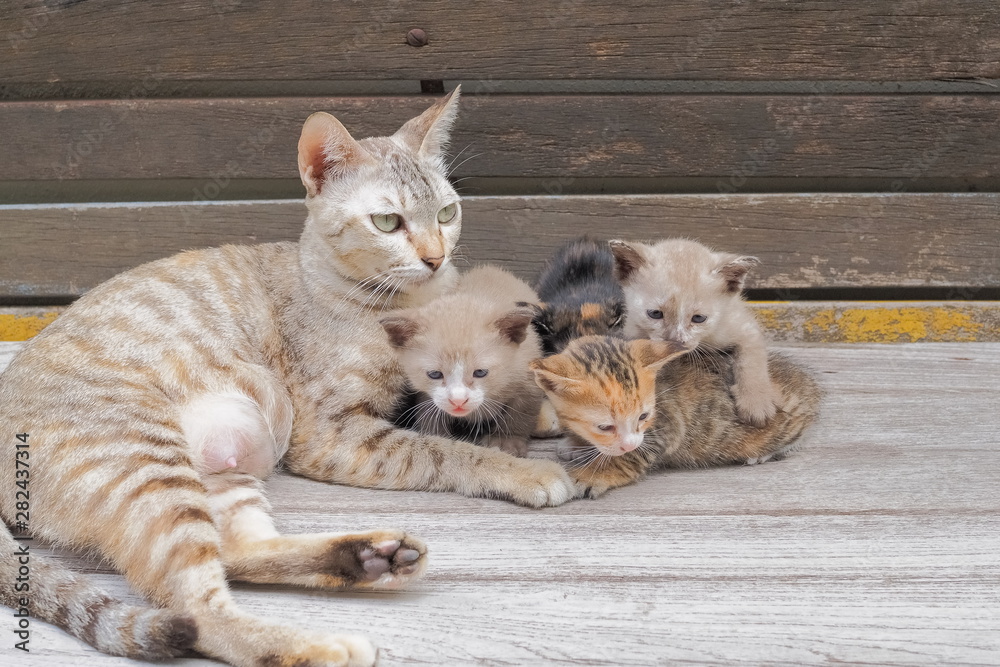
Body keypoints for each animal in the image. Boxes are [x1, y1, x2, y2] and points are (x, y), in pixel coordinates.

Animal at [378, 266, 544, 460]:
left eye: (480, 372)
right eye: (434, 374)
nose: (458, 401)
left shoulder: (527, 377)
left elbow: (520, 414)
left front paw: (507, 440)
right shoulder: (426, 394)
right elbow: (429, 409)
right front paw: (436, 435)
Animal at [532, 336, 820, 498]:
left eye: (644, 416)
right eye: (604, 426)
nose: (628, 443)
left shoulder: (666, 426)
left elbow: (632, 456)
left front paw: (593, 474)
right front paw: (577, 444)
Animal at [608, 239, 780, 428]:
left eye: (698, 318)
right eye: (655, 314)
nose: (675, 341)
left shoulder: (745, 326)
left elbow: (751, 362)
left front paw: (756, 403)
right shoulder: (632, 330)